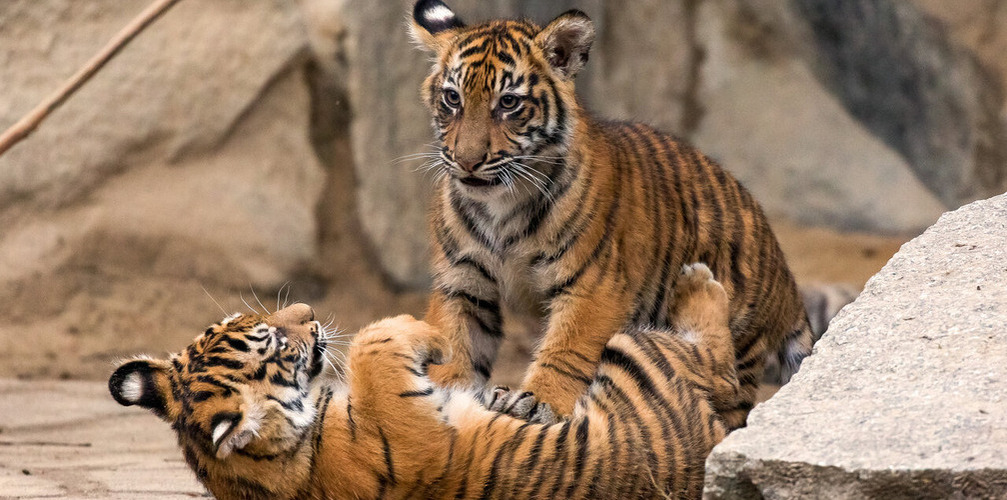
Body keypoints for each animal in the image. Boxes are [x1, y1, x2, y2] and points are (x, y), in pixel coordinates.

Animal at [109, 263, 739, 499]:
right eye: (279, 344)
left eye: (245, 322)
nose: (310, 312)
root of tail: (711, 438)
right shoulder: (413, 436)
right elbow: (372, 344)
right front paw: (430, 336)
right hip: (637, 350)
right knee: (719, 362)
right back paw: (697, 281)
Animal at [411, 0, 813, 428]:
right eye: (453, 98)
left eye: (508, 103)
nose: (467, 161)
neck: (501, 206)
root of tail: (784, 274)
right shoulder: (463, 280)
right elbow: (456, 342)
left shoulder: (593, 284)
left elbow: (567, 349)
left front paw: (537, 401)